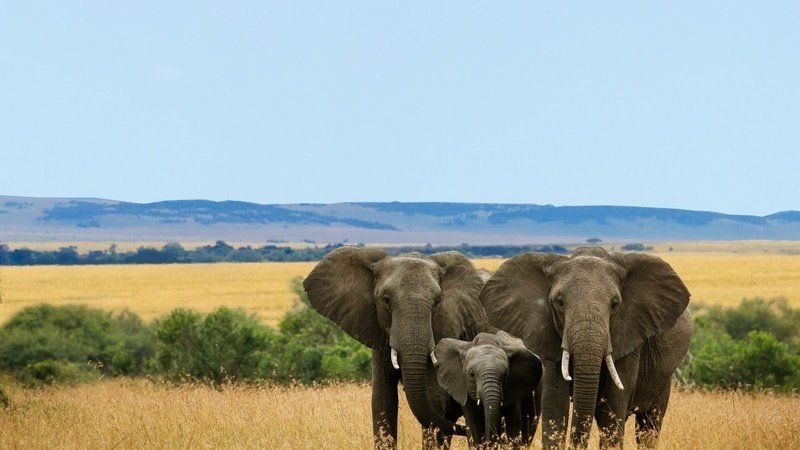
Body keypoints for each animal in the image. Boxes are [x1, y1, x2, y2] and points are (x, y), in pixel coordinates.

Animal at [480, 247, 692, 449]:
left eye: (615, 304)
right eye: (560, 302)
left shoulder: (629, 335)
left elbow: (611, 411)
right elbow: (555, 406)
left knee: (649, 424)